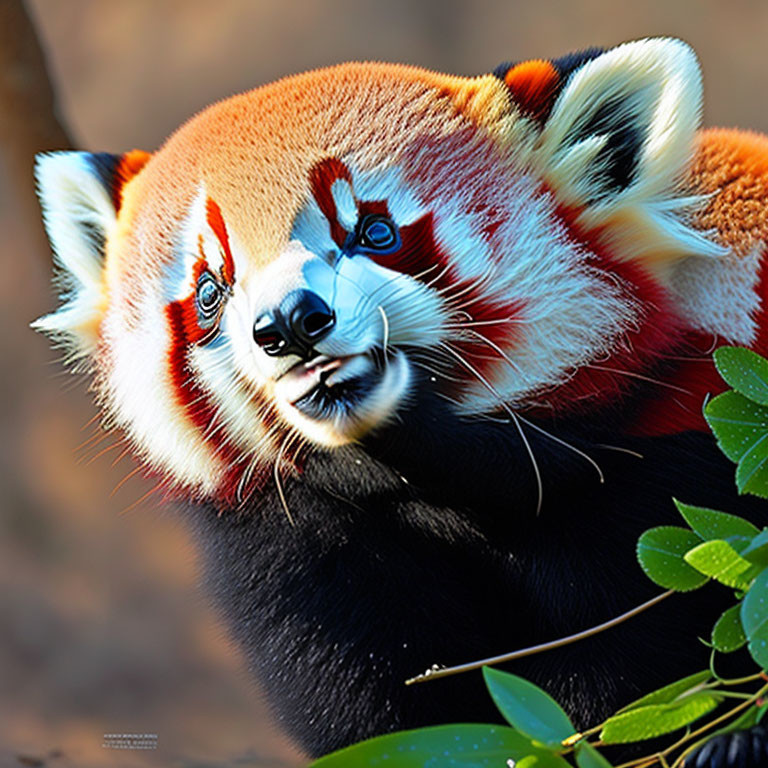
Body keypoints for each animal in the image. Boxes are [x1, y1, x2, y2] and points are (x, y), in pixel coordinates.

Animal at [33, 39, 768, 764]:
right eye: (211, 290)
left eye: (374, 233)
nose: (290, 324)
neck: (427, 482)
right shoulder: (295, 544)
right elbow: (378, 711)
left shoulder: (671, 459)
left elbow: (640, 663)